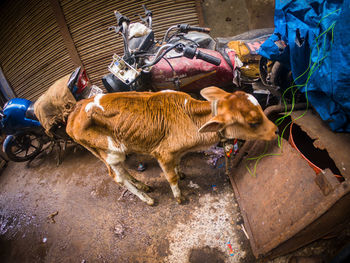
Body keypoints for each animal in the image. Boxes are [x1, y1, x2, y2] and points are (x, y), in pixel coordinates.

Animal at [67, 87, 278, 205]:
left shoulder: (176, 152)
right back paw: (146, 198)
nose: (276, 130)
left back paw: (143, 185)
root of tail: (76, 109)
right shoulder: (163, 153)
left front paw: (181, 173)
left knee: (123, 172)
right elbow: (171, 177)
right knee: (118, 177)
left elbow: (178, 166)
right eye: (253, 122)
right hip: (111, 151)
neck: (189, 116)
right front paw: (179, 197)